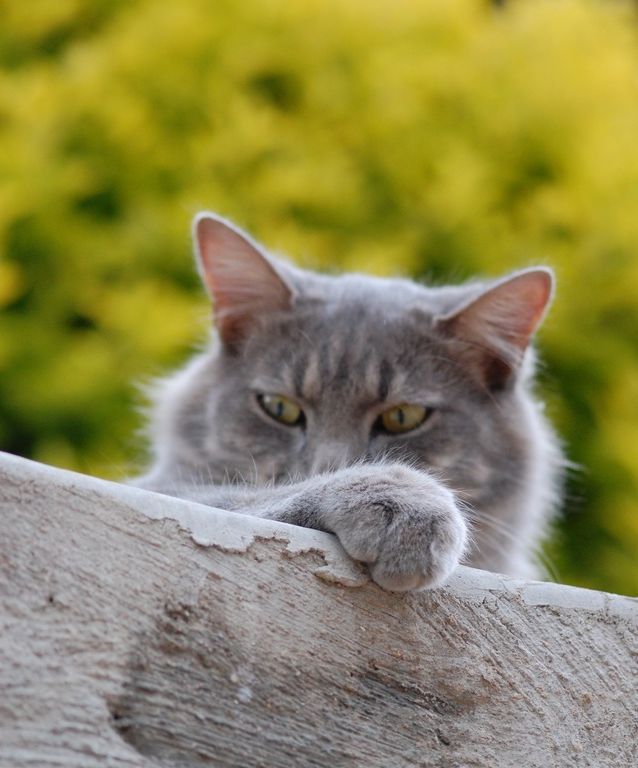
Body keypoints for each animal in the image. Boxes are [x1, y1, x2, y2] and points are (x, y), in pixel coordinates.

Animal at [131, 213, 564, 592]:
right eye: (279, 407)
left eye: (403, 417)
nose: (330, 467)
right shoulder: (164, 488)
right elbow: (239, 496)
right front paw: (397, 500)